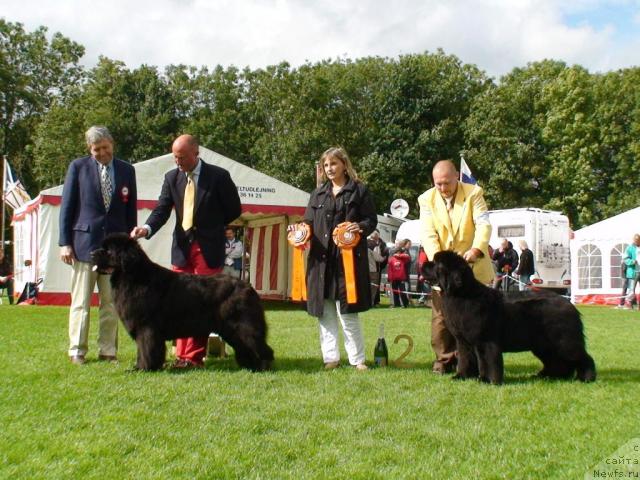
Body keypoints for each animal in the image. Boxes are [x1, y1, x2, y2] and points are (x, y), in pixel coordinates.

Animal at [91, 234, 274, 374]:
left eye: (108, 250)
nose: (92, 253)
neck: (134, 276)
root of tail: (248, 286)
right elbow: (142, 350)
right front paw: (141, 366)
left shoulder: (146, 328)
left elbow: (145, 349)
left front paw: (143, 368)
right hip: (232, 330)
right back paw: (249, 366)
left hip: (243, 326)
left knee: (259, 345)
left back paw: (263, 367)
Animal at [422, 249, 596, 384]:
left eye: (436, 264)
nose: (424, 264)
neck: (463, 295)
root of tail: (569, 304)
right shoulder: (464, 342)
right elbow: (465, 360)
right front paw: (461, 376)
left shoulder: (485, 341)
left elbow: (486, 361)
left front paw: (487, 380)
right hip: (544, 345)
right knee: (557, 361)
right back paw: (548, 376)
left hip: (564, 341)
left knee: (583, 357)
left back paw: (586, 378)